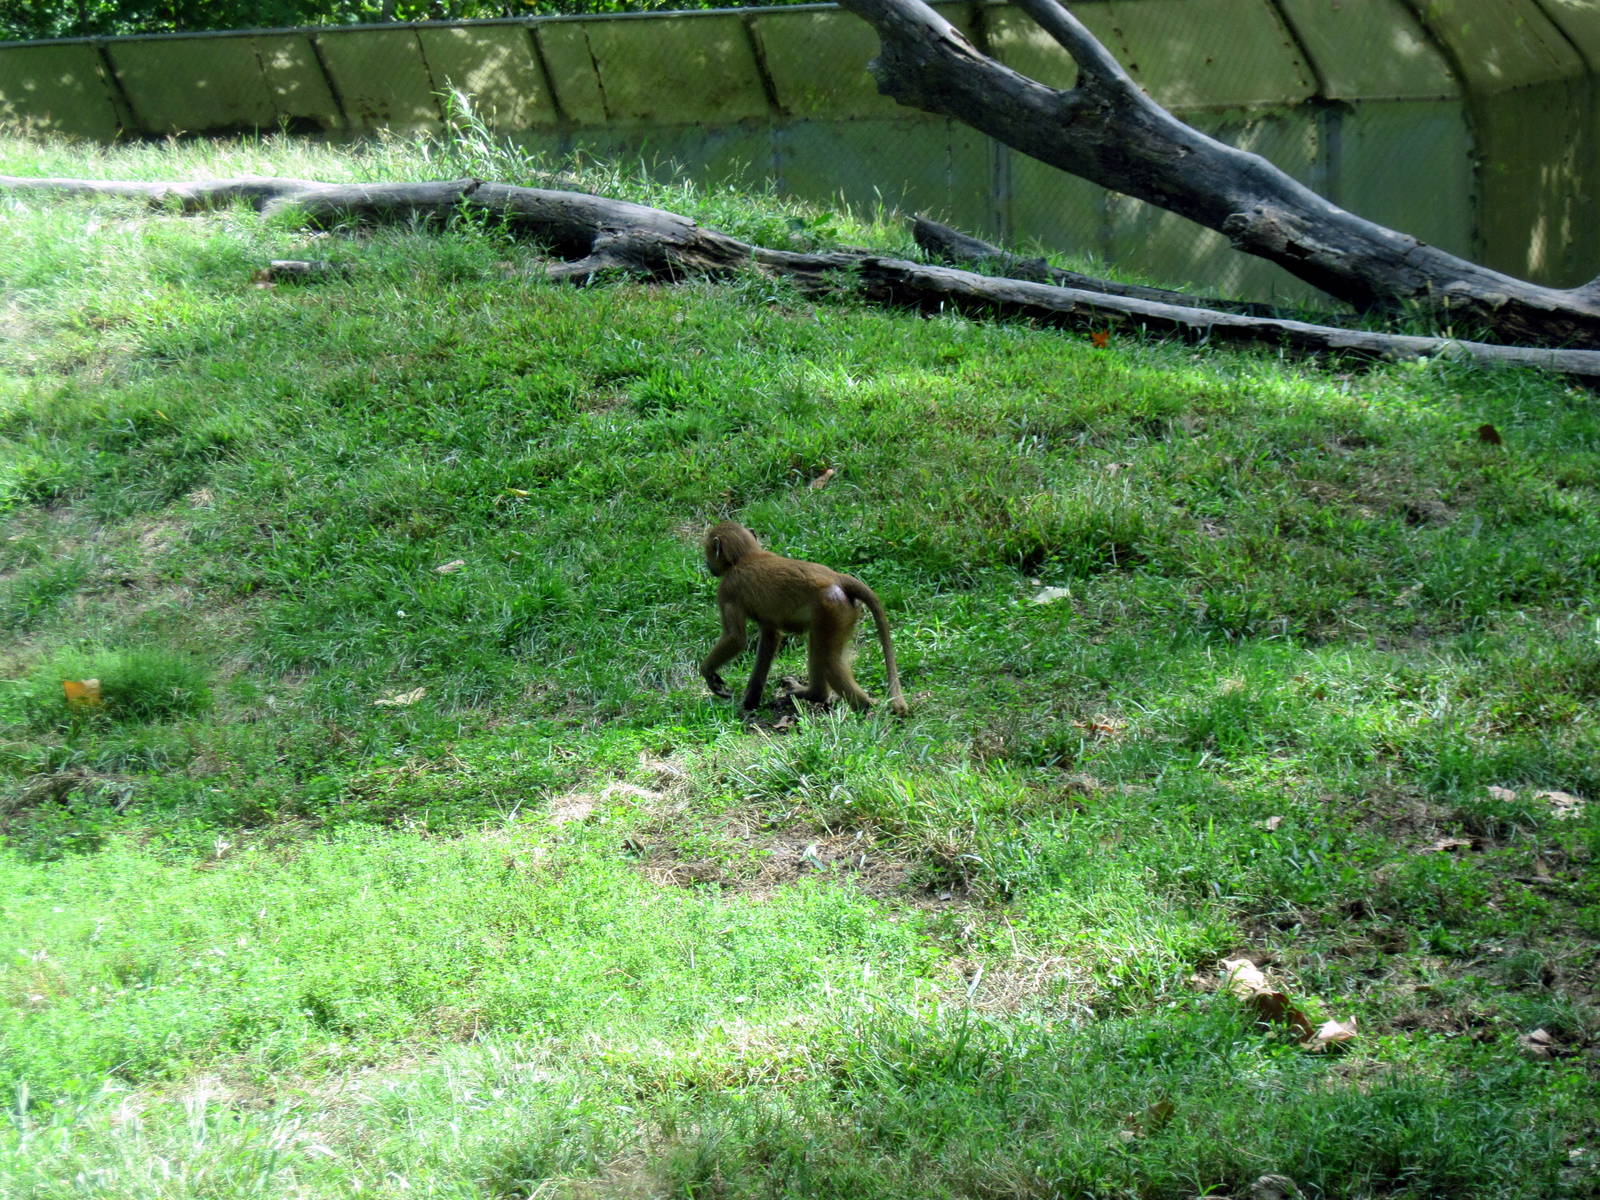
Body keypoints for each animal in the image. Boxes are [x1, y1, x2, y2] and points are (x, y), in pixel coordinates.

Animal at [699, 522, 908, 716]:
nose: (709, 566)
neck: (746, 557)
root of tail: (837, 577)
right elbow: (770, 637)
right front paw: (751, 700)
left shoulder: (727, 590)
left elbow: (735, 638)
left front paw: (708, 673)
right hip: (843, 613)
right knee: (822, 651)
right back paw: (816, 694)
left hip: (830, 611)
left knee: (828, 662)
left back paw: (860, 706)